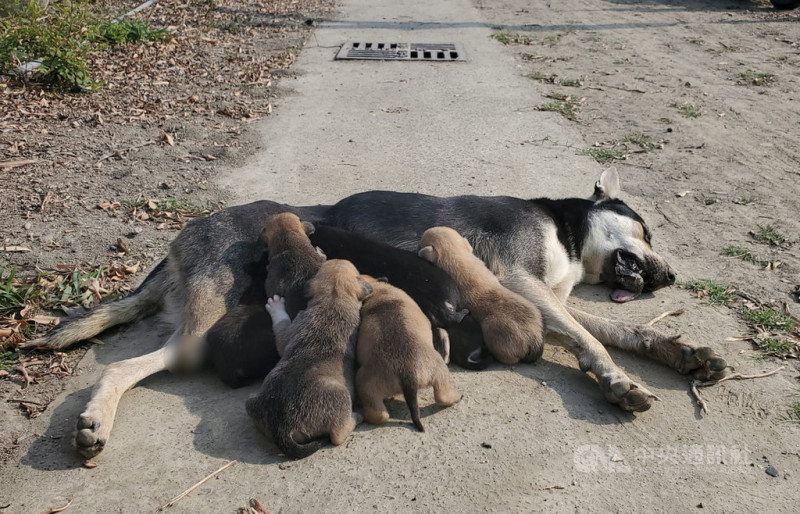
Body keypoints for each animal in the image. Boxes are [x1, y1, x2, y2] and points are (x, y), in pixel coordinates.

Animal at [245, 258, 374, 458]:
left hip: (251, 400)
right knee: (338, 435)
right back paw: (357, 416)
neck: (333, 298)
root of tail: (282, 427)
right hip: (342, 397)